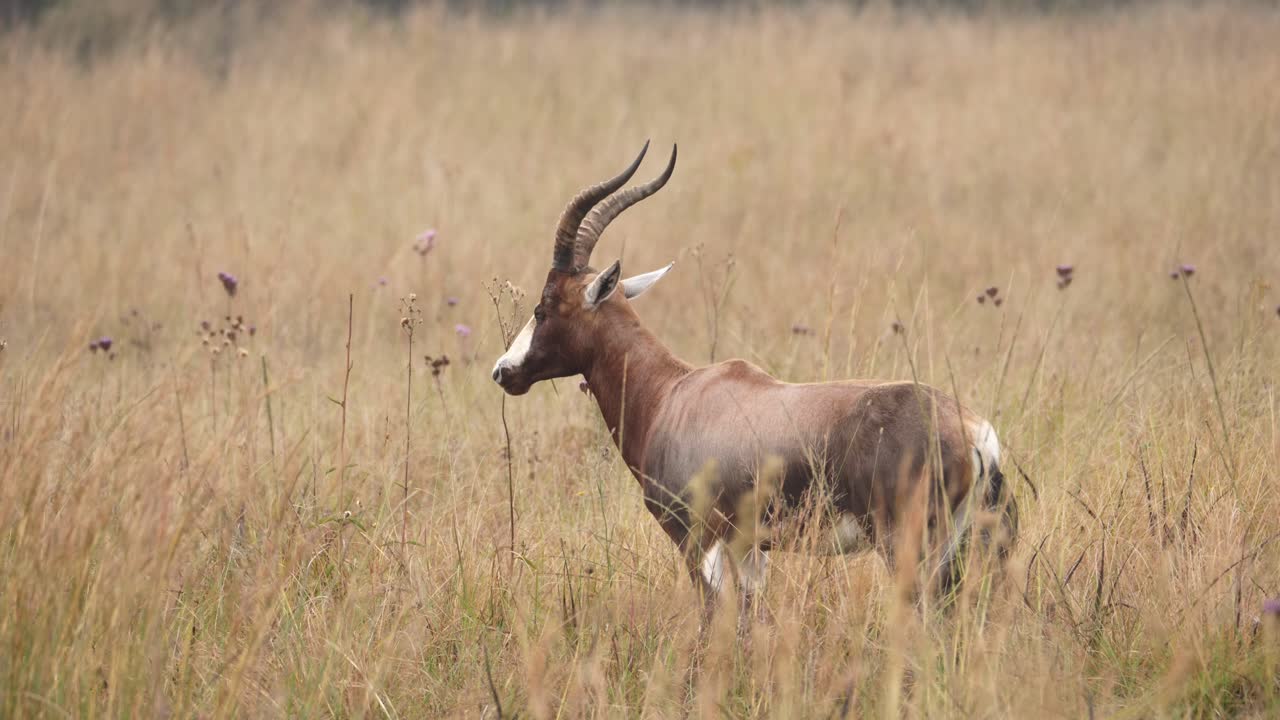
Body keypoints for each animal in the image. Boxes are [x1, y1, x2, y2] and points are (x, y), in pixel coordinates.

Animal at [491, 142, 1016, 617]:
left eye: (543, 307)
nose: (503, 371)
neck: (672, 394)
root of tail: (976, 433)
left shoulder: (697, 539)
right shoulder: (747, 548)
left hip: (909, 546)